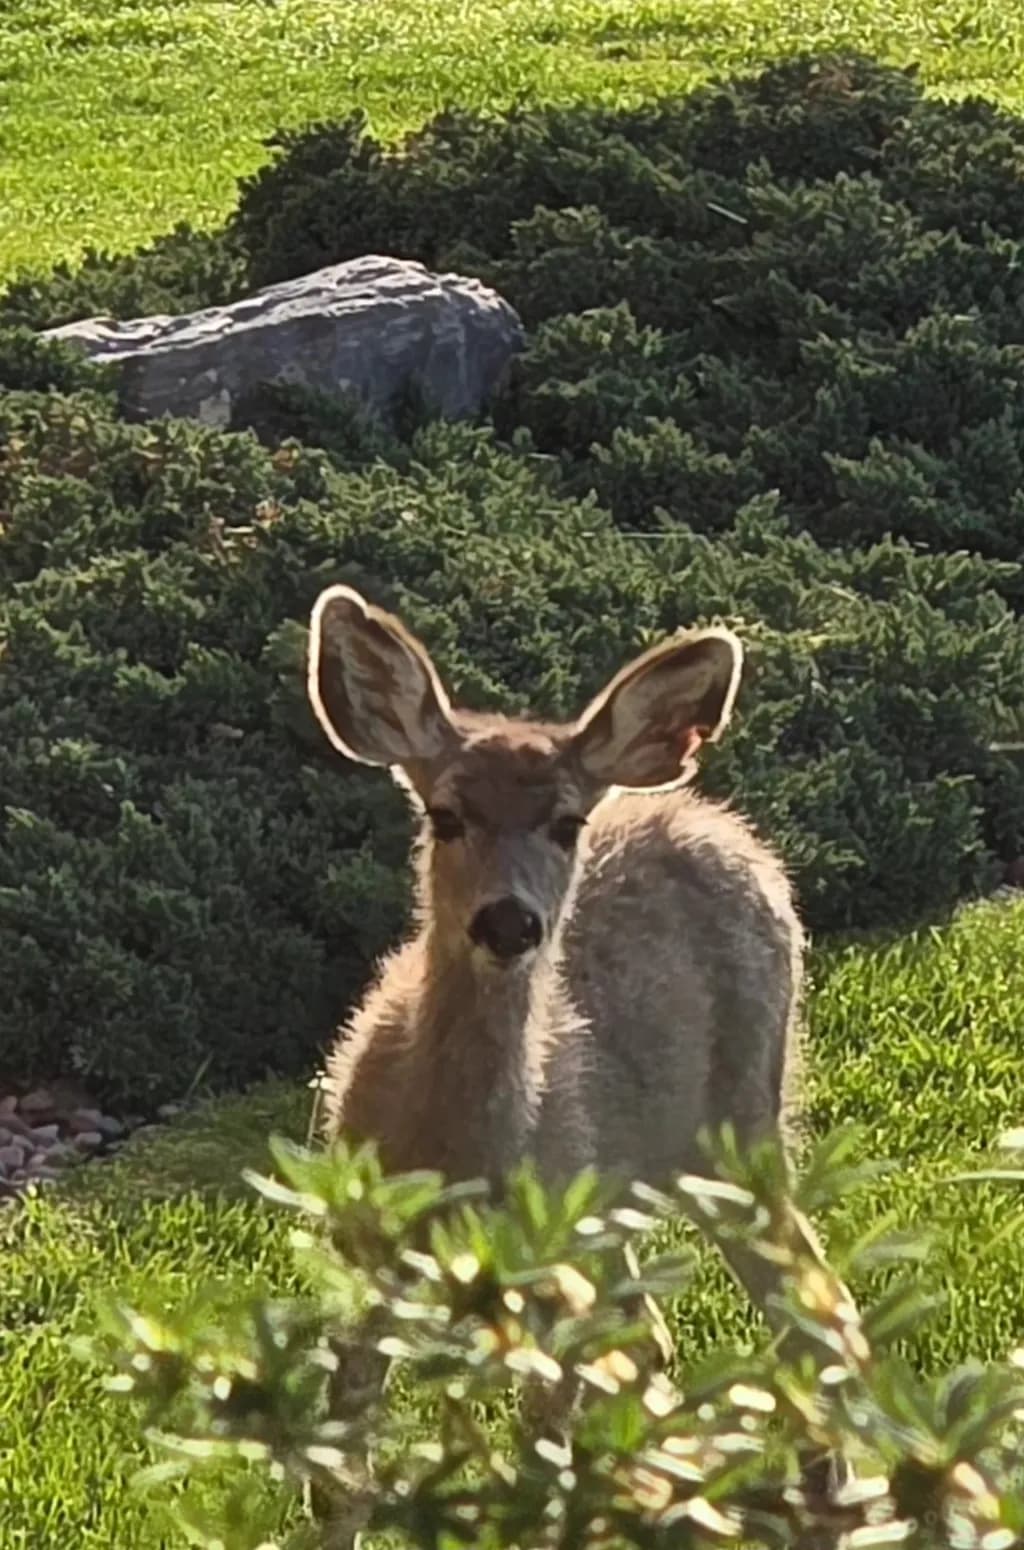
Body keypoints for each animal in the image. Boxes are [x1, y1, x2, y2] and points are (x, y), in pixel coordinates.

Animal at [305, 584, 859, 1543]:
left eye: (567, 824)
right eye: (445, 816)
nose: (509, 923)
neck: (458, 1165)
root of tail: (719, 823)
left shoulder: (549, 1253)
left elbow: (537, 1451)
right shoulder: (368, 1242)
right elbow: (342, 1469)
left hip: (741, 1121)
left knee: (812, 1302)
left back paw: (821, 1494)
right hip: (623, 1191)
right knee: (650, 1335)